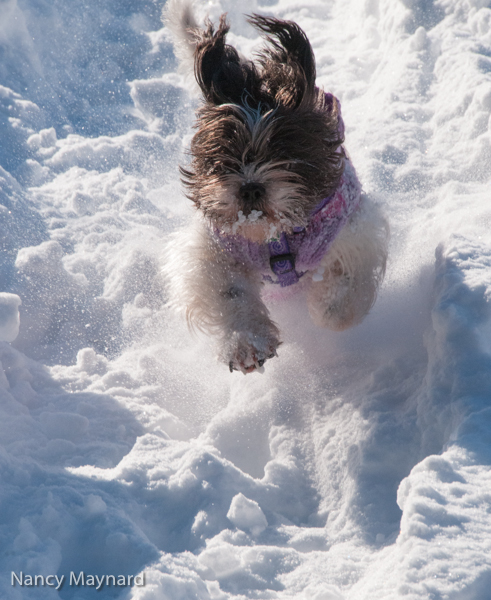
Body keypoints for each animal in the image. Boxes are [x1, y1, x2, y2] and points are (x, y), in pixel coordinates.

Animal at [163, 1, 390, 376]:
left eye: (285, 154)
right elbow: (228, 292)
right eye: (224, 157)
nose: (250, 187)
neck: (273, 236)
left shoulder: (350, 226)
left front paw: (328, 308)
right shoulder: (214, 248)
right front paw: (247, 344)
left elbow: (345, 281)